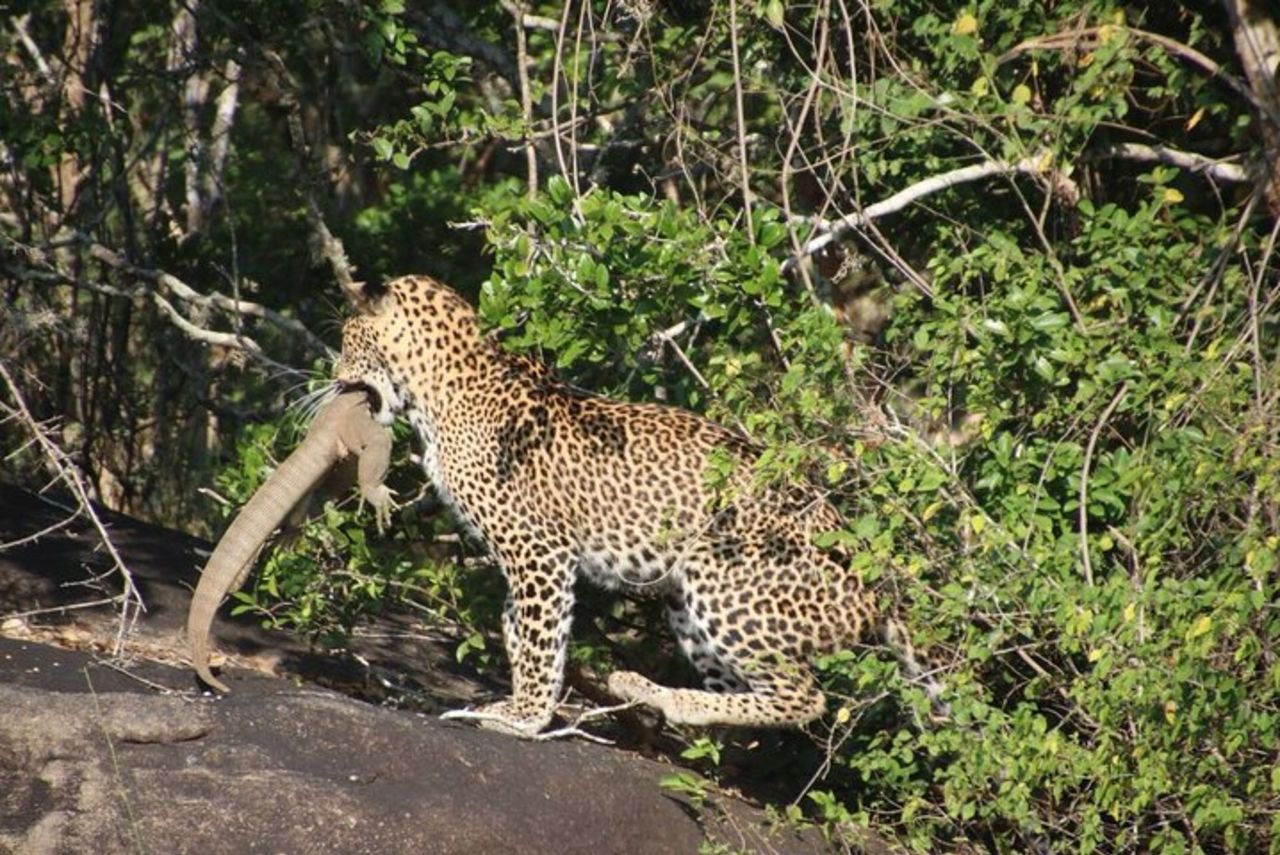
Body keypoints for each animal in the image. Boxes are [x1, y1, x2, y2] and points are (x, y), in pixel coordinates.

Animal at [333, 274, 934, 736]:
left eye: (348, 340)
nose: (334, 379)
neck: (435, 393)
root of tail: (876, 577)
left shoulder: (539, 552)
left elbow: (538, 640)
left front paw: (524, 717)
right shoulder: (530, 561)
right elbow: (519, 630)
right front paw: (525, 702)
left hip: (722, 574)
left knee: (805, 698)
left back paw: (663, 697)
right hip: (687, 608)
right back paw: (654, 695)